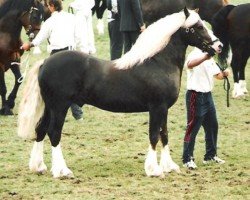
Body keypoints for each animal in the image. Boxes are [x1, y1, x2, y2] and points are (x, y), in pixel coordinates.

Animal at [18, 8, 222, 178]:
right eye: (198, 27)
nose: (218, 46)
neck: (158, 62)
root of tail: (46, 62)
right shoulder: (157, 108)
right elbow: (154, 136)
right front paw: (154, 170)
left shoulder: (164, 109)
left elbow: (164, 135)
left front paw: (169, 166)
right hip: (60, 107)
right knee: (54, 133)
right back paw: (62, 171)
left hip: (50, 107)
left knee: (41, 130)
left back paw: (39, 167)